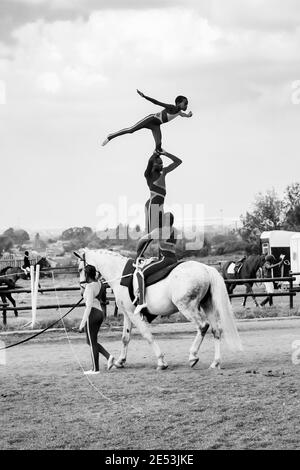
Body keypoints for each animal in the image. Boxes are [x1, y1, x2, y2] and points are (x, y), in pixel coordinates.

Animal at [74, 250, 241, 370]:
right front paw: (120, 362)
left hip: (187, 307)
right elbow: (125, 338)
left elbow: (147, 335)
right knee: (216, 330)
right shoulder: (127, 314)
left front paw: (161, 362)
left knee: (203, 326)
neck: (119, 274)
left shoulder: (134, 315)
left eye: (81, 269)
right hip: (208, 305)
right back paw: (215, 363)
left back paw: (193, 356)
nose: (82, 289)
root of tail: (206, 268)